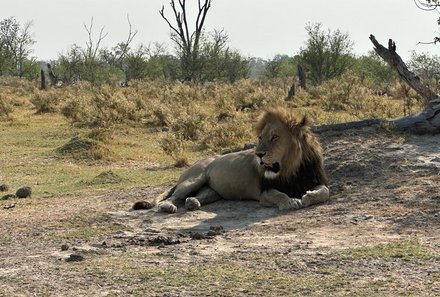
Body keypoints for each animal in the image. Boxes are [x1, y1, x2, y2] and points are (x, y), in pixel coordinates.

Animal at [132, 106, 328, 213]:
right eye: (260, 138)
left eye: (274, 137)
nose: (258, 154)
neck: (292, 168)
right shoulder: (265, 192)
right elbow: (280, 194)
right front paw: (290, 201)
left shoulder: (317, 180)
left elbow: (325, 192)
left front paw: (308, 196)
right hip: (194, 180)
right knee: (173, 197)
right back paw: (167, 207)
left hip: (212, 190)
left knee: (197, 196)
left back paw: (192, 203)